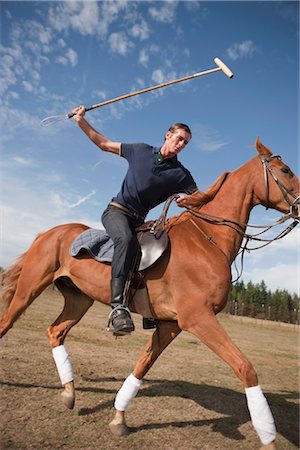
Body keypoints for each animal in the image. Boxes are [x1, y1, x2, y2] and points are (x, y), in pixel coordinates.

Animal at [1, 139, 298, 448]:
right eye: (286, 170)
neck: (208, 239)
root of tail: (48, 233)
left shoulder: (170, 324)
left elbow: (142, 365)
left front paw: (119, 418)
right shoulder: (198, 318)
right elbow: (245, 367)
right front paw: (268, 437)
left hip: (78, 300)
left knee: (55, 332)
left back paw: (69, 392)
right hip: (29, 289)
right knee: (6, 323)